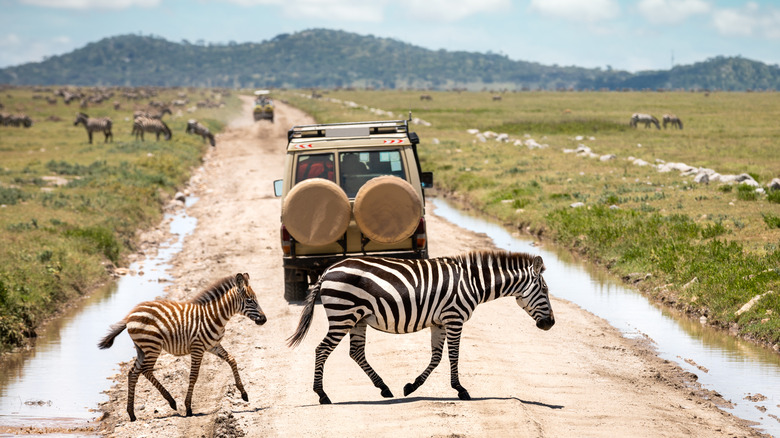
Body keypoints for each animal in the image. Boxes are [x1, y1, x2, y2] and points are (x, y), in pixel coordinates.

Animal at [96, 272, 268, 420]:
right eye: (250, 300)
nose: (264, 319)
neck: (216, 317)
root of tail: (130, 315)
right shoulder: (197, 347)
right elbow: (194, 376)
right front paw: (188, 408)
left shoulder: (213, 345)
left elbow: (232, 360)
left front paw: (243, 393)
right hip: (152, 345)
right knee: (146, 370)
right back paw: (171, 402)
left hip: (142, 349)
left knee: (133, 373)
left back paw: (132, 414)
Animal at [288, 250, 556, 404]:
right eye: (544, 290)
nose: (551, 324)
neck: (472, 283)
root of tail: (327, 271)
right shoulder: (454, 317)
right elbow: (454, 356)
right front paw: (461, 390)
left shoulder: (439, 322)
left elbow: (436, 357)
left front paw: (411, 386)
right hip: (343, 315)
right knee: (322, 349)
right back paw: (322, 395)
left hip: (357, 319)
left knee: (356, 352)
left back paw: (384, 389)